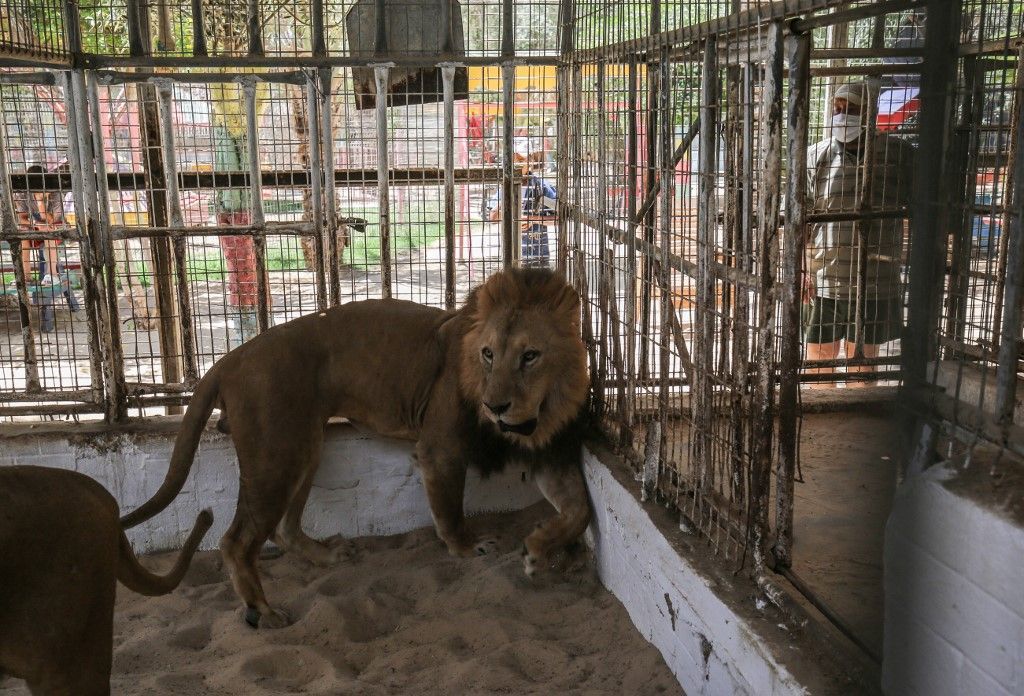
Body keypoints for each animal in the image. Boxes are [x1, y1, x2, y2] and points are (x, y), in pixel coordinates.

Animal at [121, 264, 593, 626]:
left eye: (530, 356)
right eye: (488, 354)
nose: (495, 406)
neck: (533, 416)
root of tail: (230, 358)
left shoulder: (547, 451)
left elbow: (580, 509)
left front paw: (537, 550)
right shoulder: (440, 448)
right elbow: (450, 509)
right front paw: (467, 547)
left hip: (304, 445)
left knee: (283, 528)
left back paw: (328, 557)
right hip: (277, 452)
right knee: (236, 541)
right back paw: (264, 612)